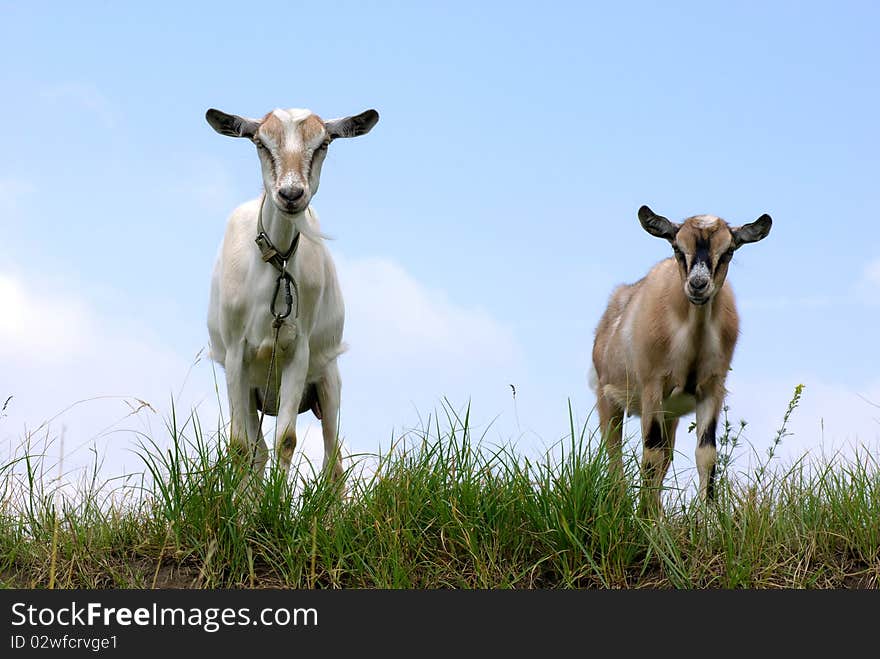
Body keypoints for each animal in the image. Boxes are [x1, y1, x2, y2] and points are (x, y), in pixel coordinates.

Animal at [205, 105, 378, 482]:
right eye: (259, 142)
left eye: (324, 143)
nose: (291, 195)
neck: (276, 262)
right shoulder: (235, 355)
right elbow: (240, 447)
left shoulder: (299, 351)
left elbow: (286, 439)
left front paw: (279, 499)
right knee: (258, 451)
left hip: (328, 378)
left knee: (333, 461)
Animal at [592, 204, 768, 508]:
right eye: (676, 247)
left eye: (729, 250)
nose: (698, 285)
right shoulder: (652, 386)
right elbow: (650, 454)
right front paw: (644, 516)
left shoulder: (712, 388)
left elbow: (706, 455)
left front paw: (708, 516)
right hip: (608, 399)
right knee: (615, 457)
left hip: (670, 415)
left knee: (664, 458)